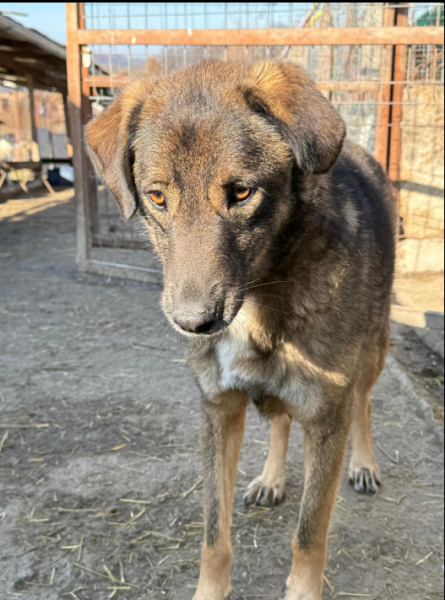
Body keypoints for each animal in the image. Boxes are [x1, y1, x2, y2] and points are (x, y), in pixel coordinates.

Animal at [86, 60, 396, 600]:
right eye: (157, 197)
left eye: (242, 193)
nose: (193, 324)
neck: (260, 305)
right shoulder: (218, 409)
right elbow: (214, 532)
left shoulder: (326, 416)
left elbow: (309, 535)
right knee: (279, 419)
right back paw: (272, 477)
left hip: (373, 352)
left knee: (364, 401)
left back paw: (364, 464)